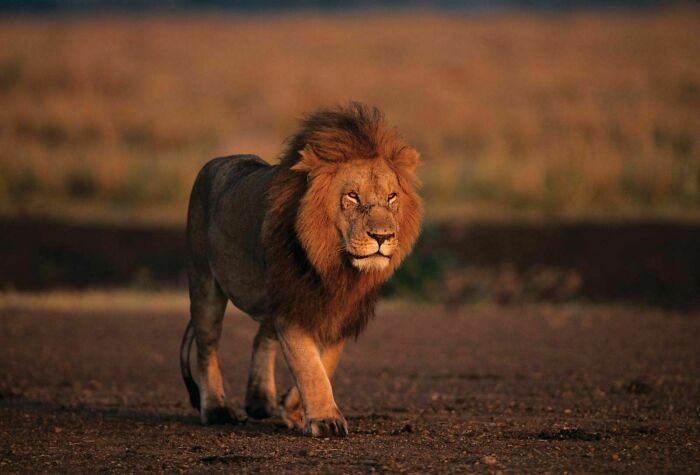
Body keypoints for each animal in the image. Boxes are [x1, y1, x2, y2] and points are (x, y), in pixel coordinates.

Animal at [179, 102, 422, 437]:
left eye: (392, 197)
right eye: (352, 196)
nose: (383, 237)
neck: (335, 265)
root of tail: (217, 162)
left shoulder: (340, 310)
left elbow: (325, 363)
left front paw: (293, 409)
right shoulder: (292, 304)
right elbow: (309, 365)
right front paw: (326, 419)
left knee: (261, 337)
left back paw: (260, 401)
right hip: (205, 283)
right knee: (208, 347)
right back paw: (216, 409)